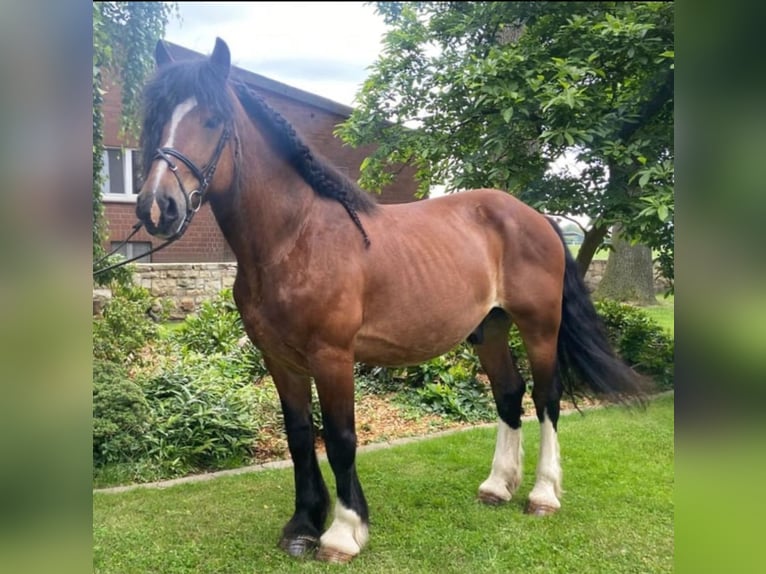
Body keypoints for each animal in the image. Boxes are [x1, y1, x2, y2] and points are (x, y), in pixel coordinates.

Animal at [134, 38, 648, 564]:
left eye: (213, 119)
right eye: (155, 117)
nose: (158, 206)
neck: (294, 239)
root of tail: (535, 216)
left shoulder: (332, 356)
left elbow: (340, 438)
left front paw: (343, 532)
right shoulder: (281, 359)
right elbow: (299, 435)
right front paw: (303, 526)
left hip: (539, 327)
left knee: (547, 399)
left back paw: (543, 495)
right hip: (488, 329)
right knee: (509, 394)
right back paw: (497, 486)